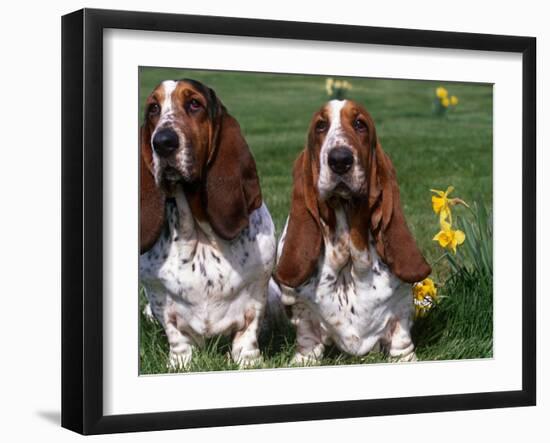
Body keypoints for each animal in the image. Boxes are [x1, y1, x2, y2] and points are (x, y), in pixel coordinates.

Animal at [138, 79, 276, 368]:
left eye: (194, 104)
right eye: (153, 108)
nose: (162, 142)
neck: (200, 235)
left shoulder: (258, 288)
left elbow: (248, 331)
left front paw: (249, 361)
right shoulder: (157, 294)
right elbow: (175, 334)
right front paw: (180, 364)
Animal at [274, 99, 434, 364]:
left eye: (360, 124)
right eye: (320, 126)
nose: (340, 159)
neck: (348, 257)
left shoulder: (400, 308)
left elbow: (401, 340)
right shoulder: (301, 309)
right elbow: (307, 337)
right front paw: (303, 360)